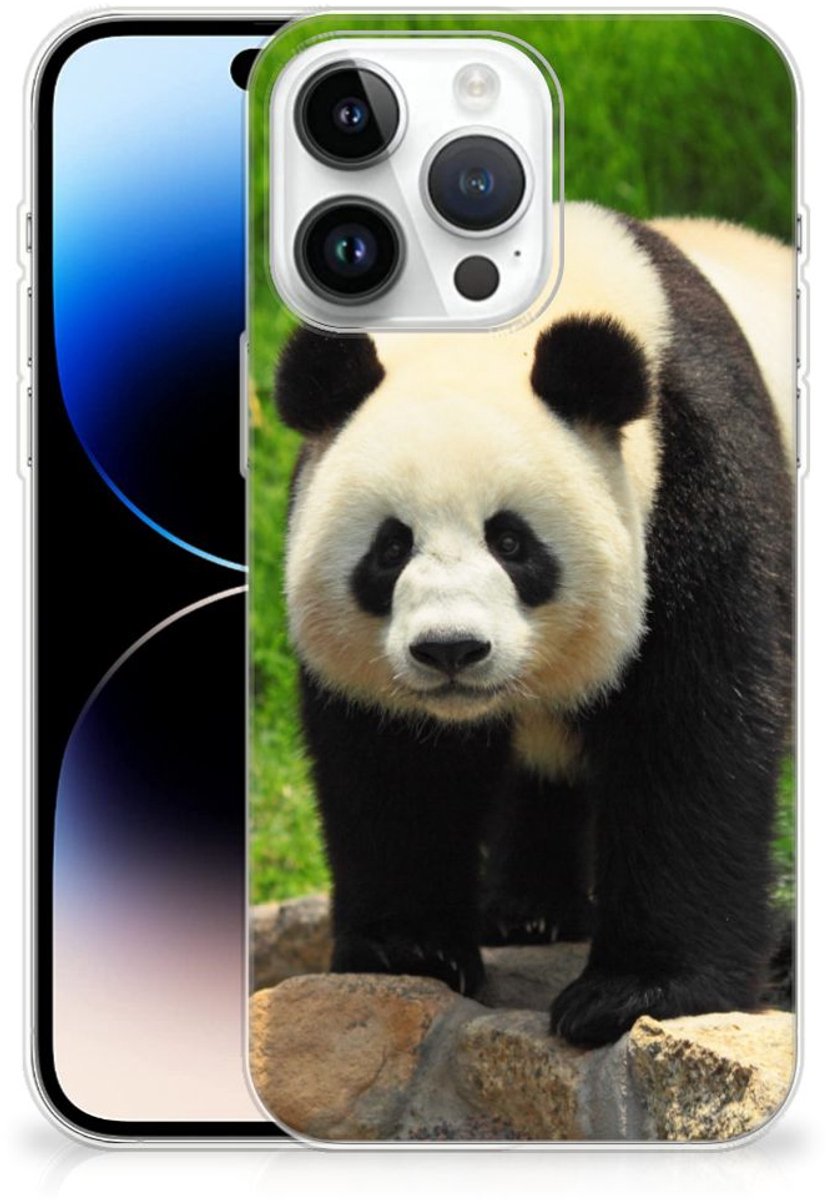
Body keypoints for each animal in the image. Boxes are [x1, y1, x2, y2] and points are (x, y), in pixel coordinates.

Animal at [272, 202, 794, 1047]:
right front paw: (408, 950)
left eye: (512, 542)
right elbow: (396, 762)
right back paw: (529, 912)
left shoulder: (697, 480)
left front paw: (636, 993)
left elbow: (694, 733)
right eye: (390, 548)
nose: (450, 650)